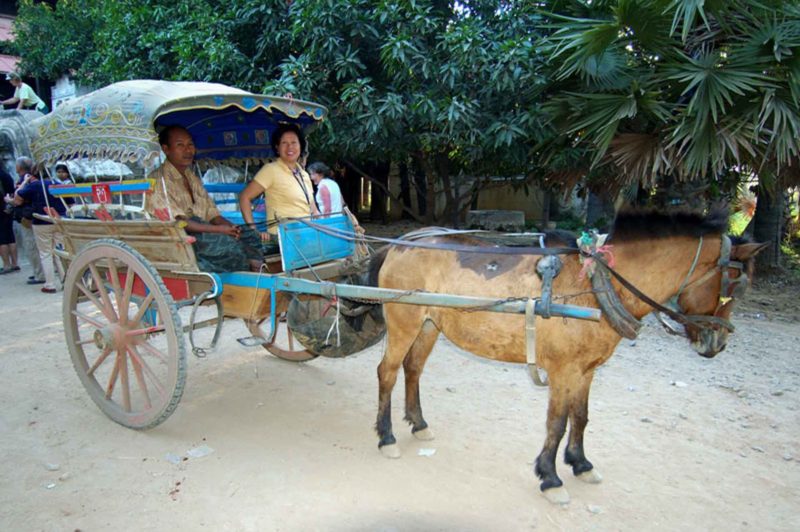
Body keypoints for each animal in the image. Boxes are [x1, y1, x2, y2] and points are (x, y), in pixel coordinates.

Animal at [366, 208, 764, 502]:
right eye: (733, 286)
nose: (717, 344)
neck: (597, 283)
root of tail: (399, 244)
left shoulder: (585, 370)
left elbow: (581, 417)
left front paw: (581, 463)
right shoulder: (561, 370)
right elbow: (556, 423)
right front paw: (550, 477)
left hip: (428, 324)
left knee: (413, 369)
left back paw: (419, 423)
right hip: (403, 322)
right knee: (387, 372)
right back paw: (386, 437)